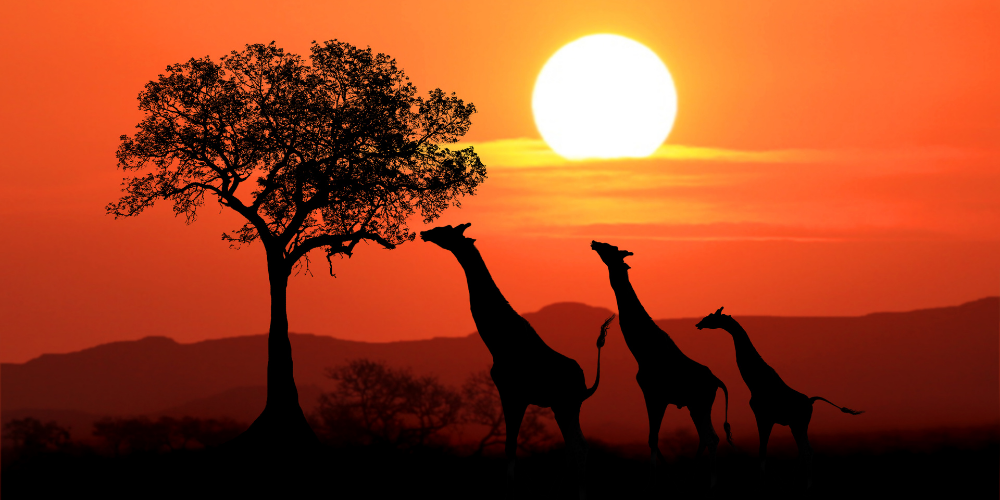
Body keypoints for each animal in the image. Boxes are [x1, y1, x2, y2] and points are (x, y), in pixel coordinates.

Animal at [422, 223, 609, 499]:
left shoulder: (513, 393)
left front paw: (509, 494)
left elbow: (510, 446)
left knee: (578, 447)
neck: (500, 341)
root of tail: (585, 385)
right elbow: (512, 446)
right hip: (566, 406)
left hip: (565, 405)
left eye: (446, 230)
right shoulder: (513, 395)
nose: (425, 233)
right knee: (576, 446)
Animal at [590, 241, 732, 487]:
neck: (645, 350)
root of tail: (716, 381)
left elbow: (653, 438)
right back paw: (694, 478)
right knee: (707, 437)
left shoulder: (655, 394)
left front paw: (652, 480)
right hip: (696, 405)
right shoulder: (654, 396)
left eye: (610, 248)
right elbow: (651, 438)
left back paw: (711, 482)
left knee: (711, 437)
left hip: (701, 403)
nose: (594, 243)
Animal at [695, 307, 863, 487]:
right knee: (806, 450)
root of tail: (811, 401)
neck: (755, 382)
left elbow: (762, 453)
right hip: (798, 425)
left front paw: (762, 483)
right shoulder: (765, 418)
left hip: (798, 424)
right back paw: (797, 481)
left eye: (712, 317)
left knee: (806, 451)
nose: (699, 324)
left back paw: (805, 483)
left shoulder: (764, 417)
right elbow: (763, 452)